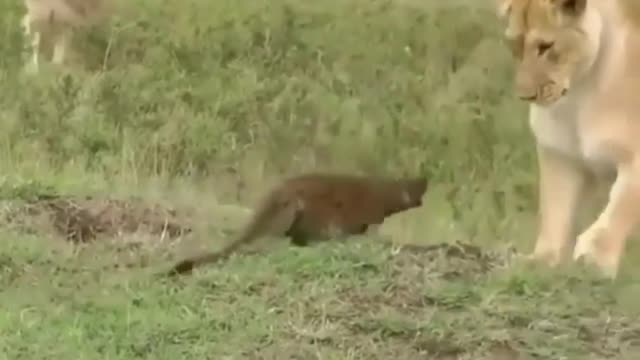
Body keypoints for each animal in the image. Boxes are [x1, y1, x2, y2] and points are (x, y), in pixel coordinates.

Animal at [498, 0, 640, 278]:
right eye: (515, 44)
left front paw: (595, 259)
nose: (526, 96)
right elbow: (556, 210)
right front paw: (541, 260)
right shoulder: (560, 154)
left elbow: (621, 207)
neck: (581, 92)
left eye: (546, 46)